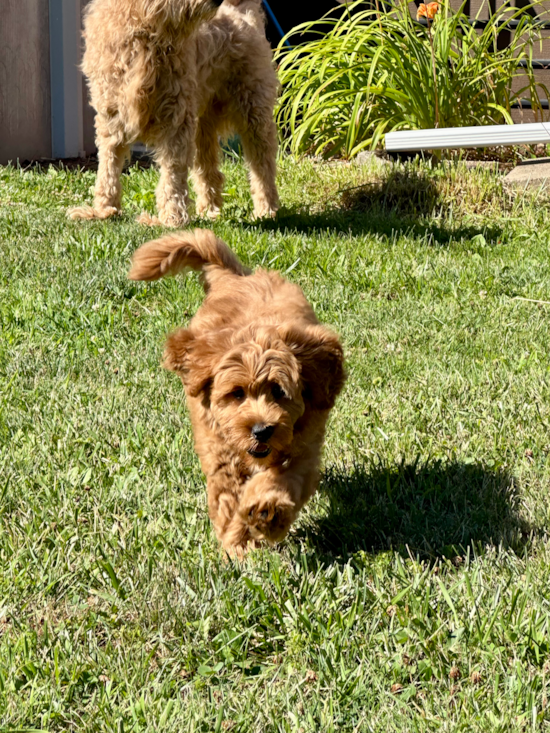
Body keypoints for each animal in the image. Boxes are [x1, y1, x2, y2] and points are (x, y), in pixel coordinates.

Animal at [69, 0, 280, 226]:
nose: (218, 1)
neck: (147, 30)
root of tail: (242, 9)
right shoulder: (111, 114)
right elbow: (108, 165)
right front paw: (103, 209)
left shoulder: (176, 117)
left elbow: (172, 172)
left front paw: (171, 217)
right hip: (202, 122)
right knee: (208, 169)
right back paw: (209, 210)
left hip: (253, 110)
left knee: (262, 164)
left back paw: (266, 209)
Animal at [129, 229, 344, 556]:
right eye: (237, 393)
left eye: (279, 392)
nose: (261, 430)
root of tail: (236, 277)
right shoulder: (221, 452)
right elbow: (228, 499)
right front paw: (238, 545)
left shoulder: (304, 446)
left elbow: (286, 479)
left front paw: (267, 511)